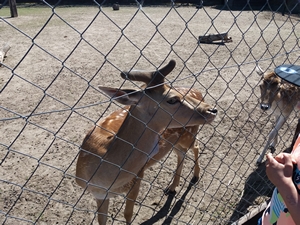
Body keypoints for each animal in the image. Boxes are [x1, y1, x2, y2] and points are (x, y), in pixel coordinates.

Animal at [75, 59, 218, 224]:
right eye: (172, 99)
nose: (212, 109)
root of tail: (198, 90)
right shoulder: (98, 194)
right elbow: (101, 220)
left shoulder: (137, 178)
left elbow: (128, 214)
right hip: (175, 140)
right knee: (182, 153)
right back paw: (172, 187)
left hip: (189, 134)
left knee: (196, 146)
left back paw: (195, 176)